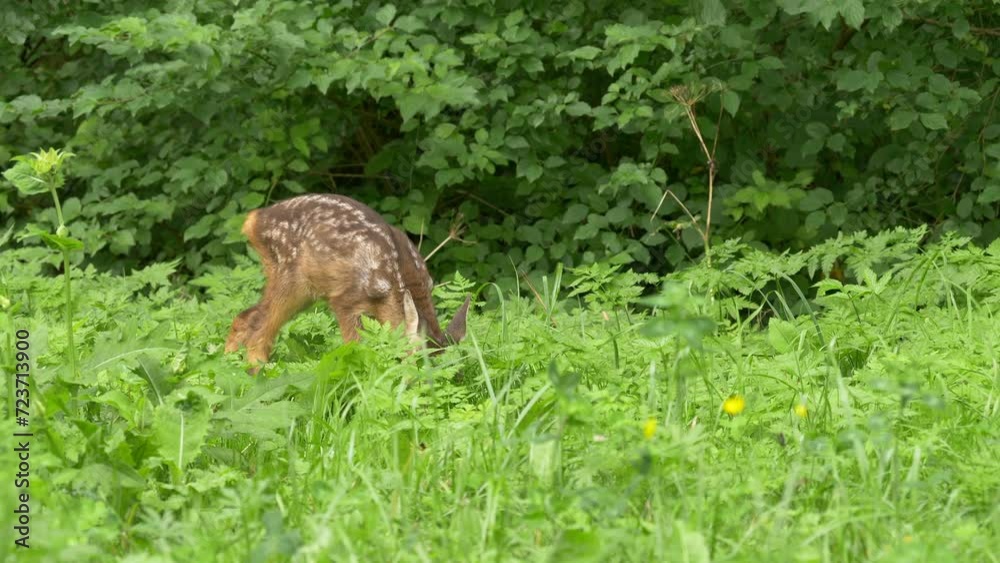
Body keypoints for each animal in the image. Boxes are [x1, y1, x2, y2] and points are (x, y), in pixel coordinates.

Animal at [224, 193, 470, 372]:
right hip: (290, 276)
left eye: (458, 374)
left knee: (245, 316)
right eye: (414, 363)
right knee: (259, 327)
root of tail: (254, 220)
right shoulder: (346, 300)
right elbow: (356, 346)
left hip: (303, 291)